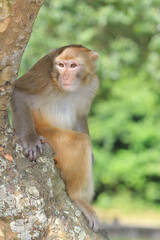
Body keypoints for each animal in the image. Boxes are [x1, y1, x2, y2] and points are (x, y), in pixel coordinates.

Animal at [10, 44, 99, 232]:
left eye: (73, 66)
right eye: (61, 65)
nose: (64, 76)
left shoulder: (92, 85)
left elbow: (80, 115)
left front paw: (93, 155)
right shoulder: (44, 80)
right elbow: (19, 93)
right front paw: (29, 139)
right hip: (48, 136)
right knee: (79, 142)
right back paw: (78, 199)